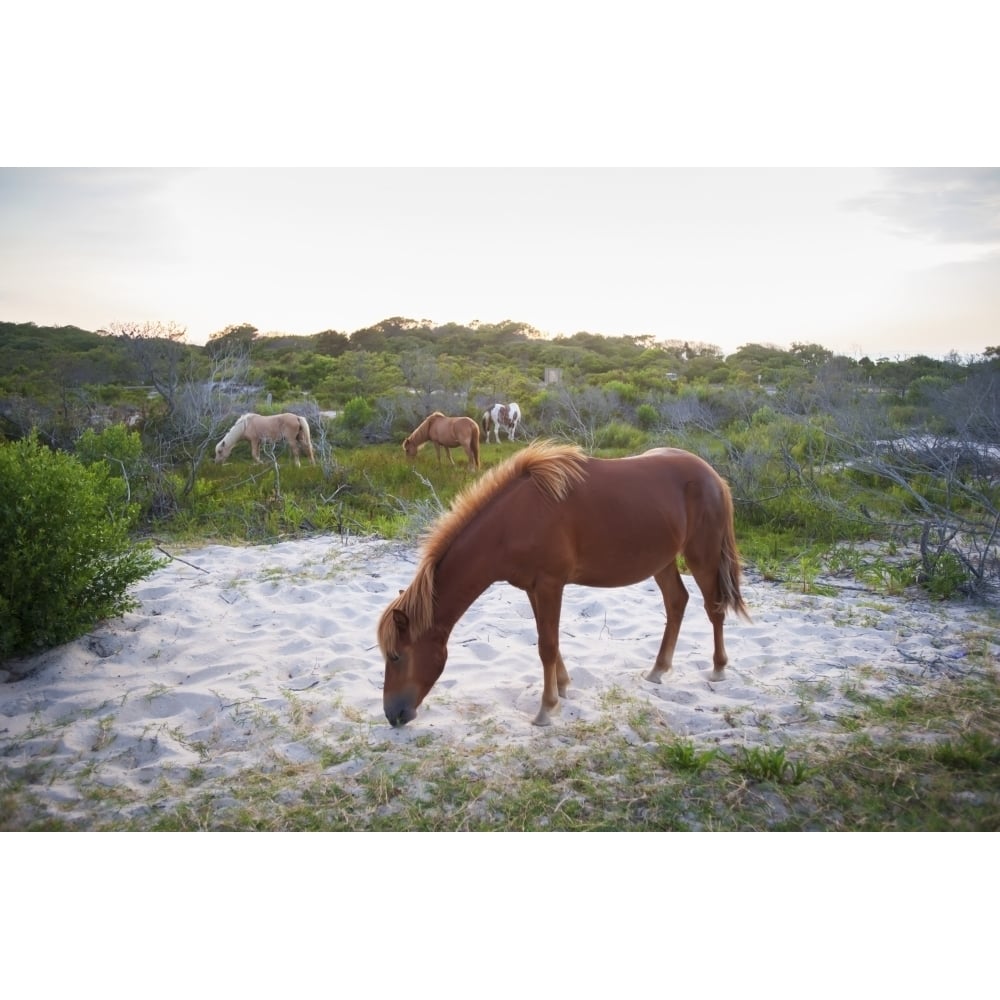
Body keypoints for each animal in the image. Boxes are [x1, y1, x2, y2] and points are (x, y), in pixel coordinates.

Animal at [376, 440, 752, 728]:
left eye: (396, 656)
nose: (393, 715)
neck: (513, 520)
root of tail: (713, 477)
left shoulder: (549, 584)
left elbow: (547, 645)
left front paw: (546, 709)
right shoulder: (533, 587)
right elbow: (548, 642)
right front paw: (564, 687)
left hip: (702, 557)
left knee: (713, 607)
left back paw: (718, 668)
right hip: (662, 561)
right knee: (677, 602)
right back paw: (658, 670)